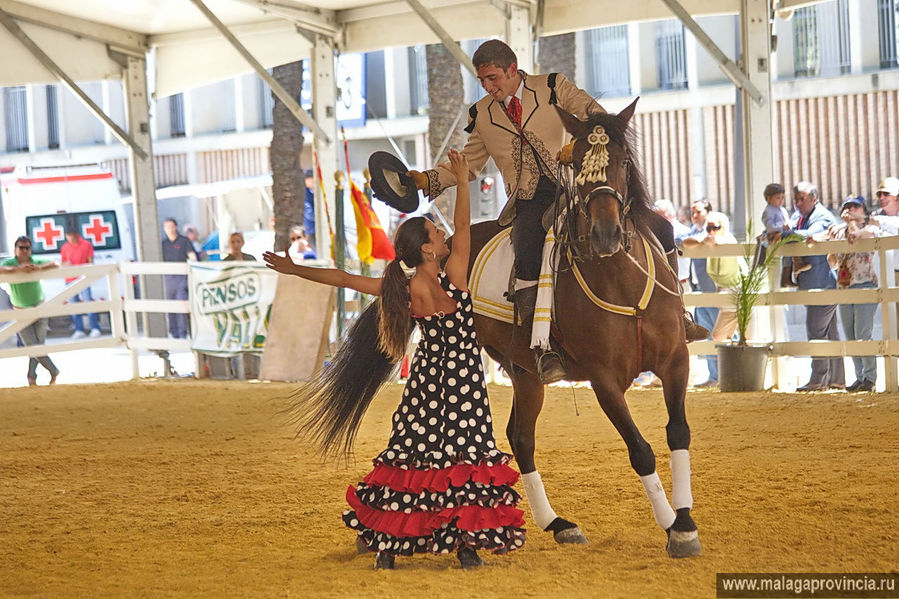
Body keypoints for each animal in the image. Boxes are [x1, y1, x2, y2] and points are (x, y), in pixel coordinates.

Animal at [464, 101, 704, 560]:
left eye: (624, 162)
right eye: (575, 164)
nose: (606, 234)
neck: (621, 280)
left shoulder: (675, 362)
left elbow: (679, 433)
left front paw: (683, 520)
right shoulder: (604, 380)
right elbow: (641, 451)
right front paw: (673, 526)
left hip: (524, 373)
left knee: (519, 437)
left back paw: (558, 524)